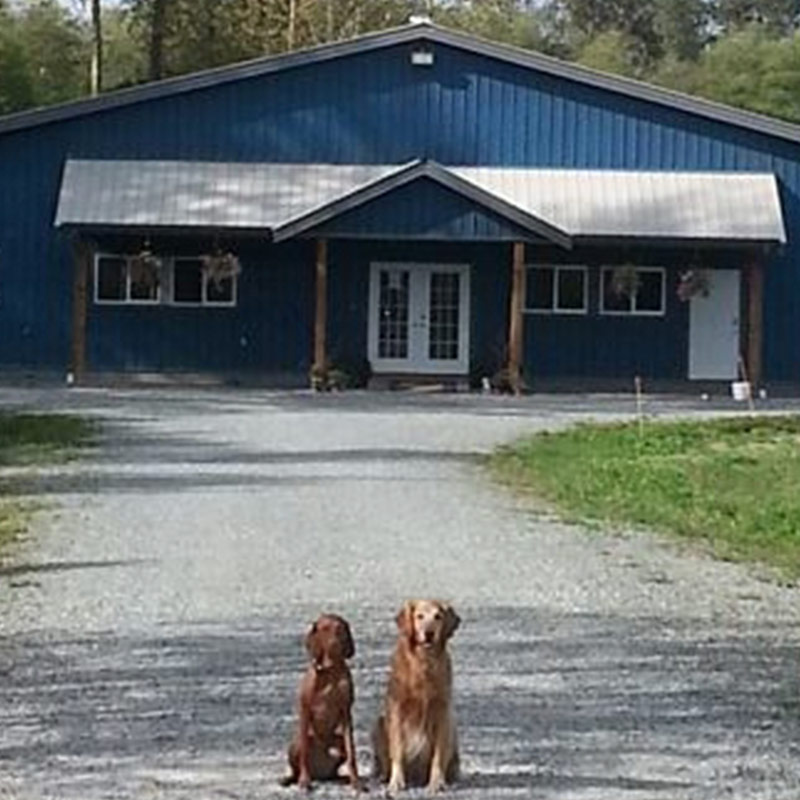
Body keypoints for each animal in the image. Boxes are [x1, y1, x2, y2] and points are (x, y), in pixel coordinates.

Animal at [278, 616, 360, 792]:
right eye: (325, 628)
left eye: (341, 628)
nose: (337, 642)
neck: (329, 671)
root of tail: (320, 774)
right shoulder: (305, 710)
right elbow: (304, 756)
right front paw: (304, 781)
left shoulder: (346, 711)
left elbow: (352, 753)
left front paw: (356, 781)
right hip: (295, 743)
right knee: (297, 767)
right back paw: (291, 778)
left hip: (338, 743)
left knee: (337, 767)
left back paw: (342, 778)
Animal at [372, 600, 460, 792]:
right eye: (419, 616)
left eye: (438, 616)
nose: (429, 633)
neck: (423, 663)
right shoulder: (397, 710)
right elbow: (397, 750)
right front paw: (396, 781)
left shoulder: (443, 711)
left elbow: (438, 754)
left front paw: (437, 782)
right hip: (379, 724)